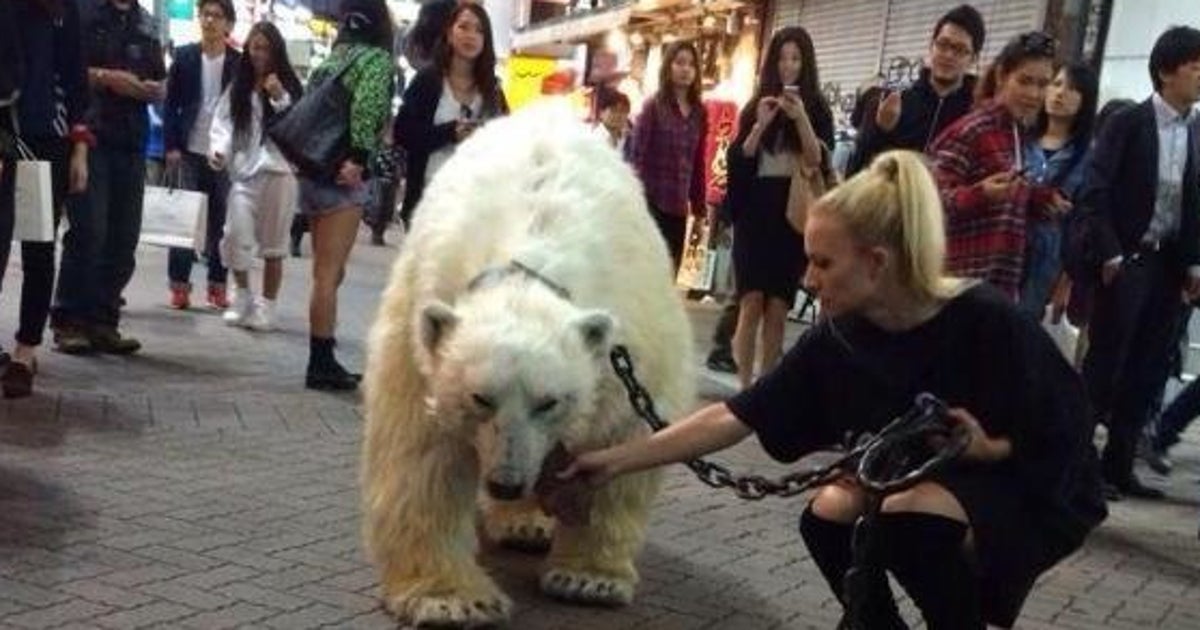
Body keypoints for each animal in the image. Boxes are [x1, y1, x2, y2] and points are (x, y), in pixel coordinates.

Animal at [362, 100, 696, 624]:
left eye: (549, 402)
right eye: (480, 398)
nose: (505, 483)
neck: (530, 262)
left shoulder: (635, 346)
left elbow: (623, 444)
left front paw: (588, 579)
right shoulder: (420, 334)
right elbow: (423, 456)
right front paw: (454, 599)